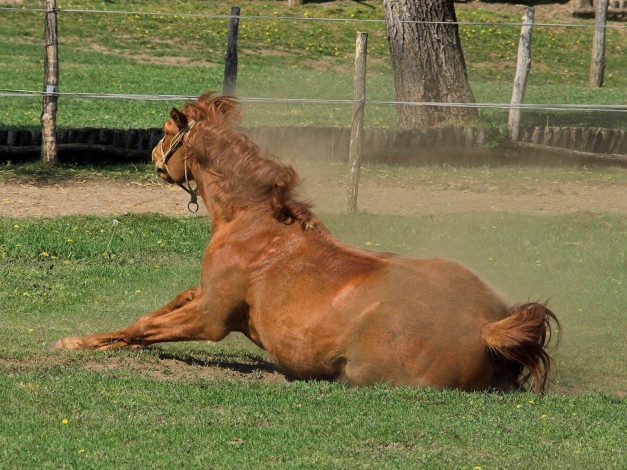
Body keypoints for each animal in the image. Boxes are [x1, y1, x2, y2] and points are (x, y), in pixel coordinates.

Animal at [49, 92, 560, 392]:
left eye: (168, 130)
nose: (152, 156)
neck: (252, 223)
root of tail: (488, 327)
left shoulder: (211, 317)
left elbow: (143, 328)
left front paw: (75, 342)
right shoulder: (203, 293)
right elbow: (152, 313)